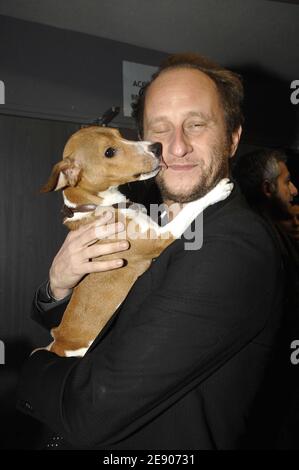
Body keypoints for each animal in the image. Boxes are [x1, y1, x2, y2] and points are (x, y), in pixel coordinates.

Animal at [39, 125, 232, 356]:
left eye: (119, 134)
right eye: (109, 152)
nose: (157, 147)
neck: (104, 206)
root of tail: (58, 344)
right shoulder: (160, 237)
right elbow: (189, 210)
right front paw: (214, 192)